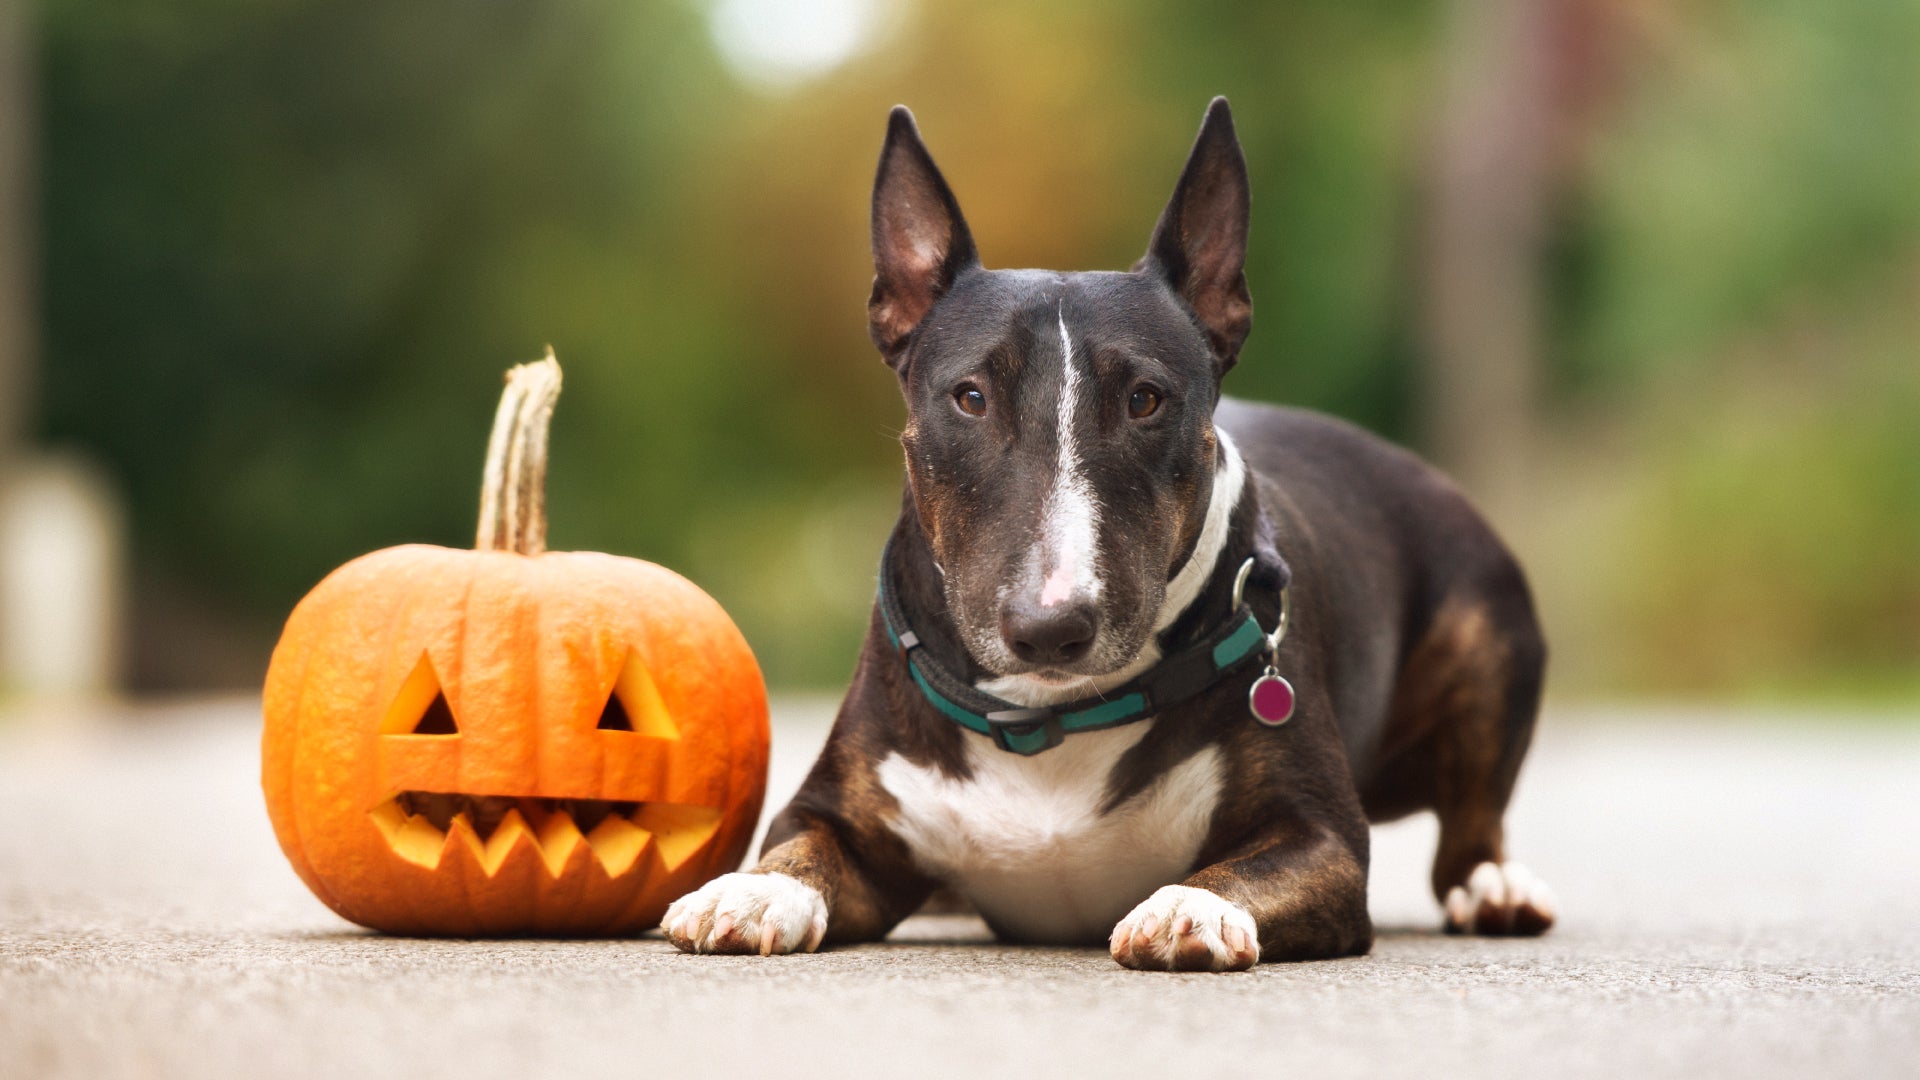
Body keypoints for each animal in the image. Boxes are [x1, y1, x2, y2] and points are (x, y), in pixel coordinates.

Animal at [668, 98, 1551, 968]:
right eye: (970, 397)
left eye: (1144, 399)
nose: (1050, 629)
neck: (1046, 721)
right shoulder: (831, 812)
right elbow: (798, 846)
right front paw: (752, 891)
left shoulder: (1321, 836)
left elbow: (1250, 866)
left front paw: (1191, 907)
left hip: (1488, 632)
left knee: (1469, 828)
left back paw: (1495, 888)